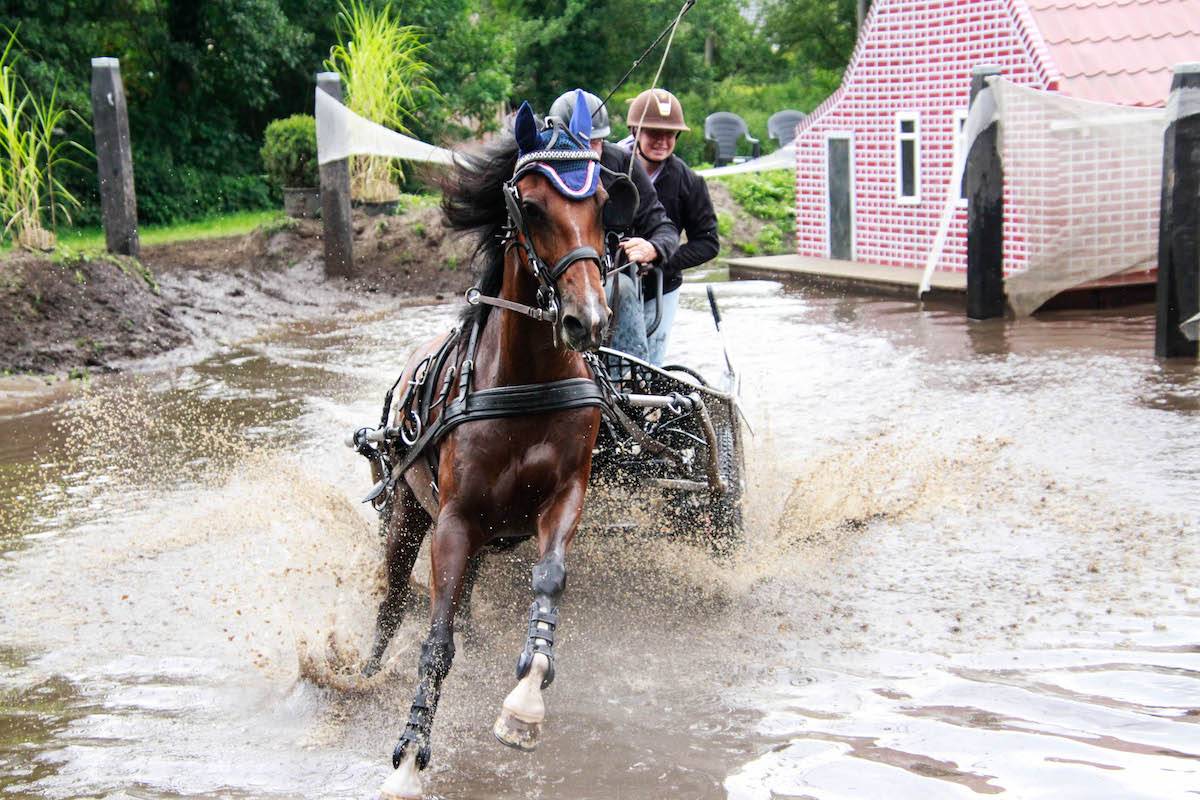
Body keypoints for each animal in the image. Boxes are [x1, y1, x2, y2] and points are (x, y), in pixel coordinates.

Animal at [364, 94, 619, 800]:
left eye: (603, 199)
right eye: (530, 206)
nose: (588, 319)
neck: (525, 380)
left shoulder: (565, 495)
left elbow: (549, 581)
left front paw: (525, 701)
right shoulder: (453, 519)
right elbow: (435, 638)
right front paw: (409, 756)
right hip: (408, 517)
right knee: (390, 603)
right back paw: (360, 672)